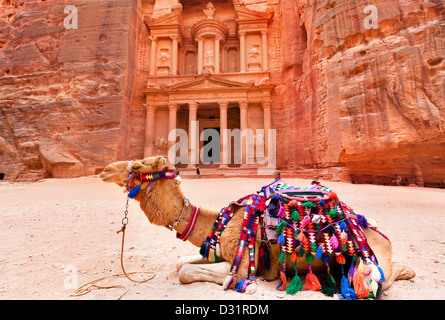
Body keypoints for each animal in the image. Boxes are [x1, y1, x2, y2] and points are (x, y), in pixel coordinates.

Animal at [99, 156, 414, 296]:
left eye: (138, 166)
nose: (104, 169)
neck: (219, 221)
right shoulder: (216, 249)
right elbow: (179, 263)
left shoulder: (239, 263)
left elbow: (187, 272)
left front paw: (247, 287)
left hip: (368, 264)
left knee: (381, 278)